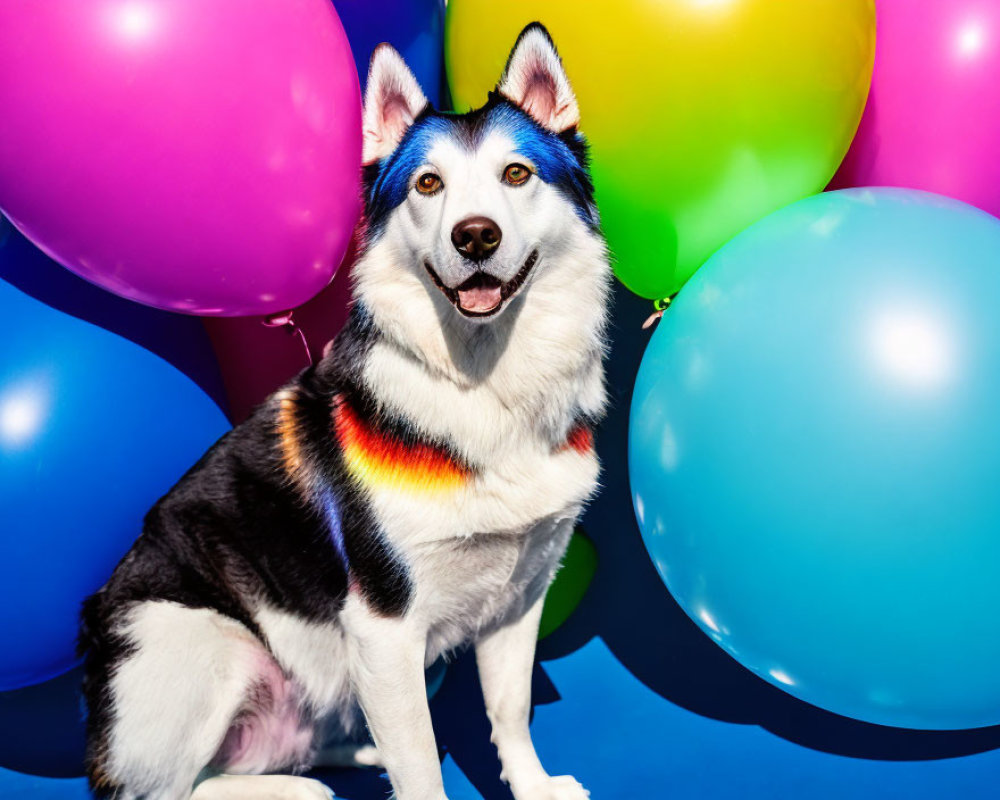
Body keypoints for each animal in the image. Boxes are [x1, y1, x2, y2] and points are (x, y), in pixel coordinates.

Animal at [80, 25, 608, 800]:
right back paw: (299, 788)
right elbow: (420, 767)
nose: (475, 235)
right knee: (166, 789)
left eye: (517, 174)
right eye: (428, 184)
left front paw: (533, 785)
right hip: (202, 640)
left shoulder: (520, 596)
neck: (482, 380)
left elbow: (508, 709)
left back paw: (348, 754)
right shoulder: (384, 626)